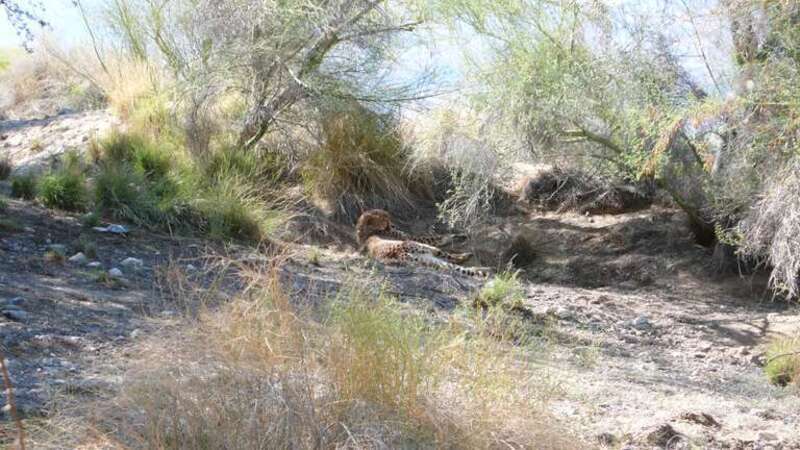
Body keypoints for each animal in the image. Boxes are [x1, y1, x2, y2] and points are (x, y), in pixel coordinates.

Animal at [355, 209, 489, 278]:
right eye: (385, 219)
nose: (392, 224)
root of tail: (398, 254)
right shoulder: (414, 238)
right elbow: (437, 237)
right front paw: (456, 235)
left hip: (431, 259)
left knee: (452, 266)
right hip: (429, 250)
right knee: (453, 259)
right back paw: (471, 258)